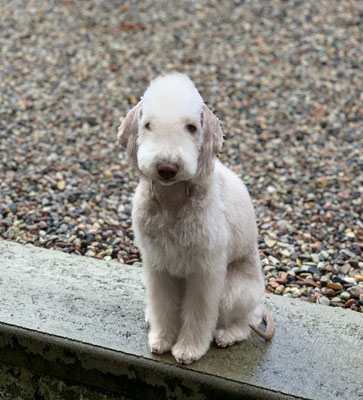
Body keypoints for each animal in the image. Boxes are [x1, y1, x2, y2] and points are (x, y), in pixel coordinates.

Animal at [118, 72, 274, 366]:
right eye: (147, 124)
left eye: (191, 127)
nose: (166, 168)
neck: (172, 200)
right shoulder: (158, 263)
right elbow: (163, 305)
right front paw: (162, 338)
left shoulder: (206, 270)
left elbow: (200, 313)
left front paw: (189, 349)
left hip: (235, 291)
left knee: (245, 321)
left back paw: (227, 335)